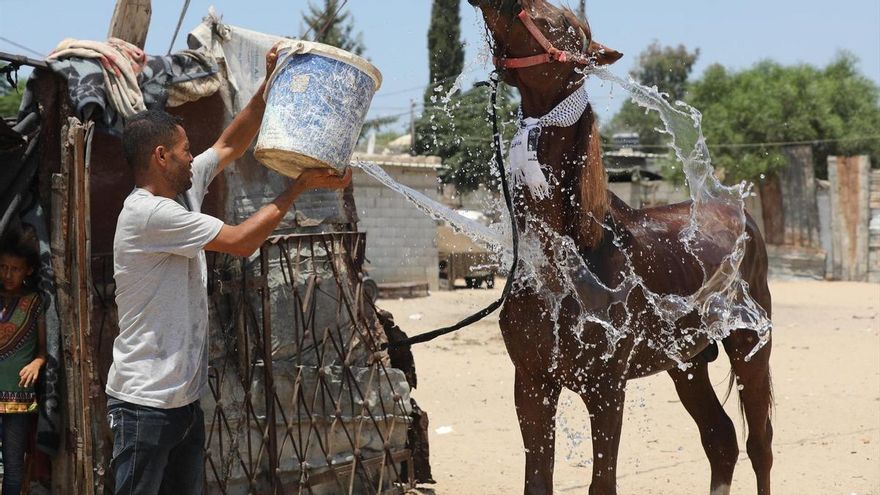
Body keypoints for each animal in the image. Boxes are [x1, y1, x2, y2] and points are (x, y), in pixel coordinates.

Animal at [466, 1, 774, 494]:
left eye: (561, 23)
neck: (569, 256)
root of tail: (741, 215)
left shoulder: (607, 389)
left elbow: (602, 482)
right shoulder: (531, 385)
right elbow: (537, 481)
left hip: (750, 347)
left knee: (759, 444)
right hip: (687, 364)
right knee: (720, 438)